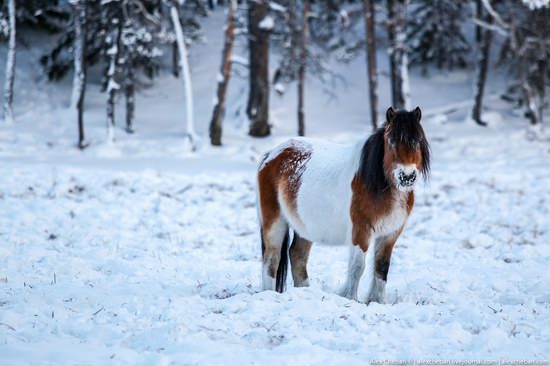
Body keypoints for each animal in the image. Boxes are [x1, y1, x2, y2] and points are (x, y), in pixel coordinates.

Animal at [256, 106, 434, 304]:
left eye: (418, 139)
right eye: (391, 140)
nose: (407, 176)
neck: (376, 183)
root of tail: (271, 155)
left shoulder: (390, 234)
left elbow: (382, 267)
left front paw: (378, 301)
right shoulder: (361, 231)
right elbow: (357, 267)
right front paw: (351, 298)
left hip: (304, 227)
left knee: (297, 256)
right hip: (274, 221)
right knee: (272, 258)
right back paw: (269, 294)